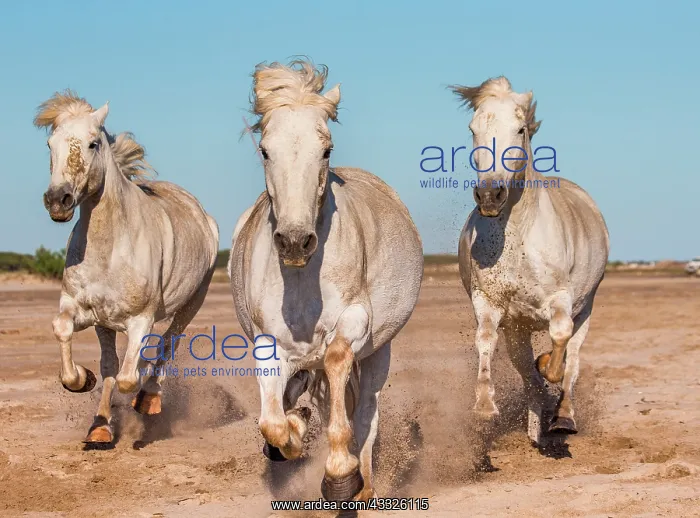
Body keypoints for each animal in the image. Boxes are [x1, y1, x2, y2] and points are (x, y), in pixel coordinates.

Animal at [34, 91, 219, 445]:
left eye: (93, 143)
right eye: (50, 144)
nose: (58, 200)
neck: (109, 249)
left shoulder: (140, 319)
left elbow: (127, 377)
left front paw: (138, 396)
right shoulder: (88, 313)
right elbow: (80, 345)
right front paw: (87, 388)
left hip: (192, 303)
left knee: (167, 343)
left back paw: (149, 398)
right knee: (117, 361)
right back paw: (102, 423)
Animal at [228, 60, 423, 502]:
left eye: (326, 149)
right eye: (265, 150)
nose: (295, 241)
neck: (302, 282)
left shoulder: (353, 322)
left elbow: (337, 367)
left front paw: (340, 475)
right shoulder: (269, 343)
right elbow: (273, 424)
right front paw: (293, 432)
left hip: (378, 354)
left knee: (365, 413)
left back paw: (363, 487)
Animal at [448, 77, 609, 446]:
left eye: (520, 129)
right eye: (473, 129)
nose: (489, 195)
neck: (517, 235)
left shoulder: (561, 299)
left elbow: (560, 341)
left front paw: (548, 365)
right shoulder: (489, 301)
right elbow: (485, 340)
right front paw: (484, 407)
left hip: (586, 310)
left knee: (572, 362)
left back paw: (563, 417)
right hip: (518, 331)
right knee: (528, 376)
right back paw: (536, 430)